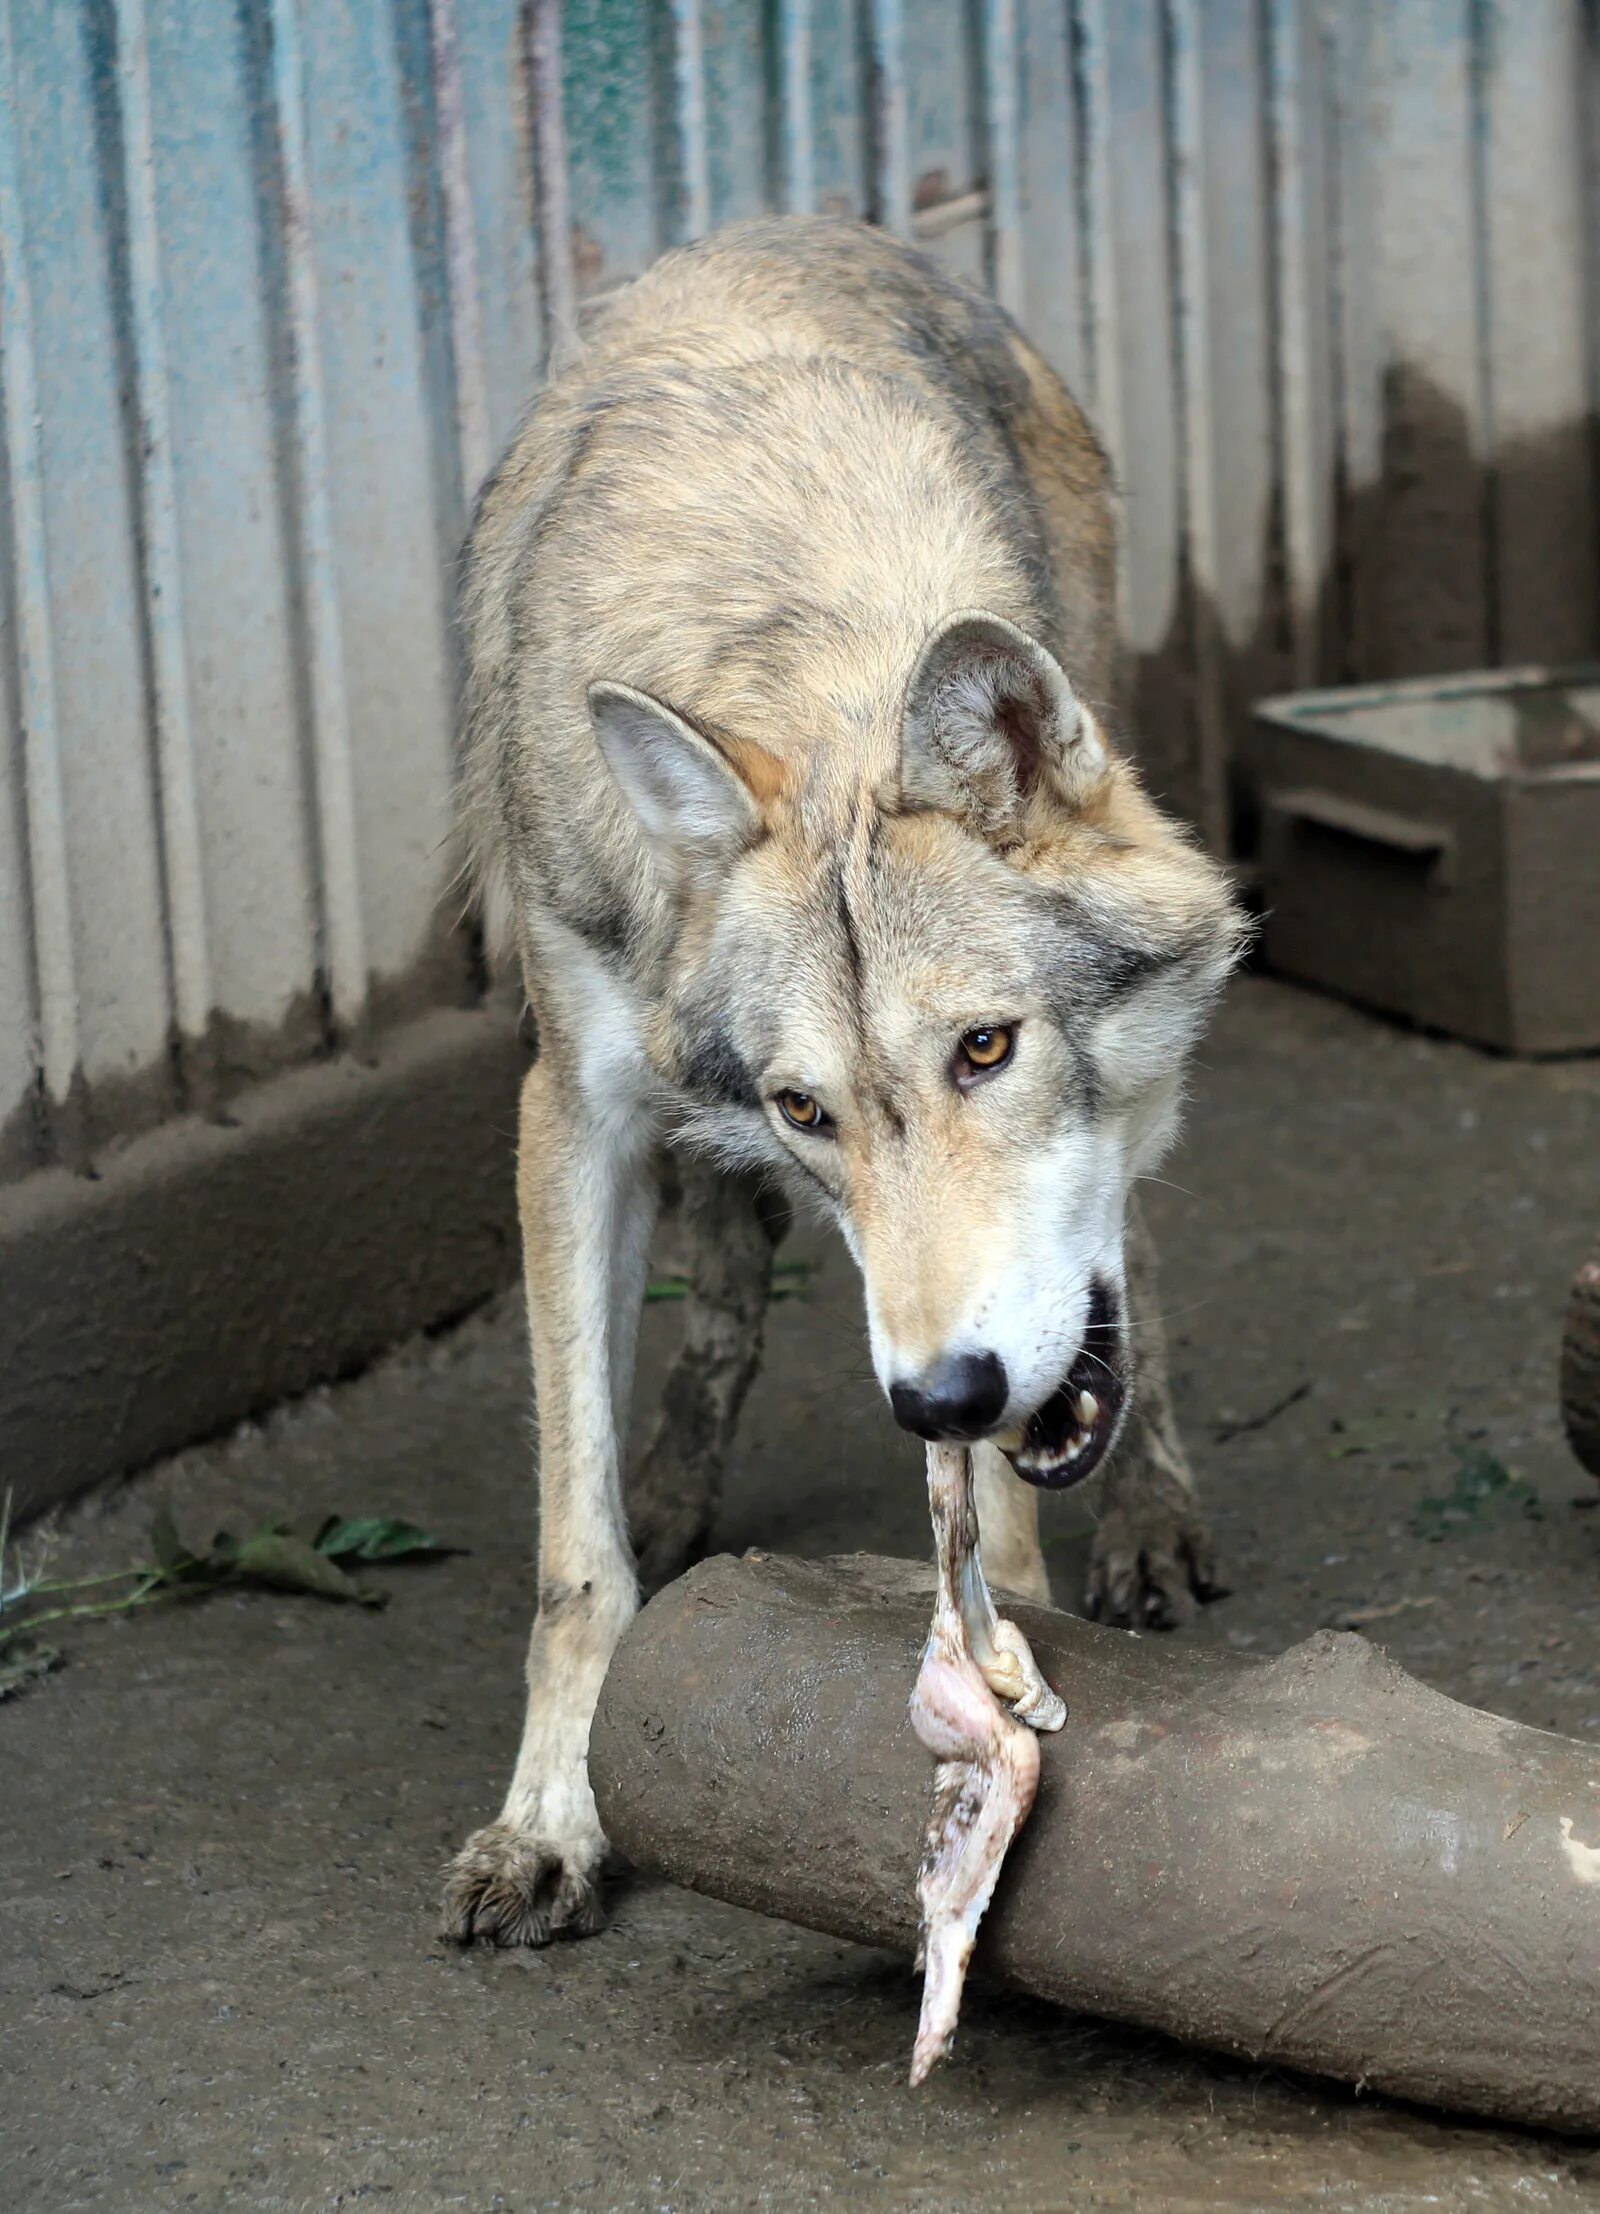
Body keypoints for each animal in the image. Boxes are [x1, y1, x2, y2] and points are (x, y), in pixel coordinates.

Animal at [444, 215, 1248, 1948]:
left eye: (987, 1047)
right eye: (808, 1109)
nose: (936, 1395)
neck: (800, 651)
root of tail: (810, 223)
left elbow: (1001, 1513)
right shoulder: (574, 1109)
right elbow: (574, 1556)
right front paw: (550, 1818)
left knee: (1141, 1253)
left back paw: (1152, 1516)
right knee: (722, 1295)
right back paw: (682, 1479)